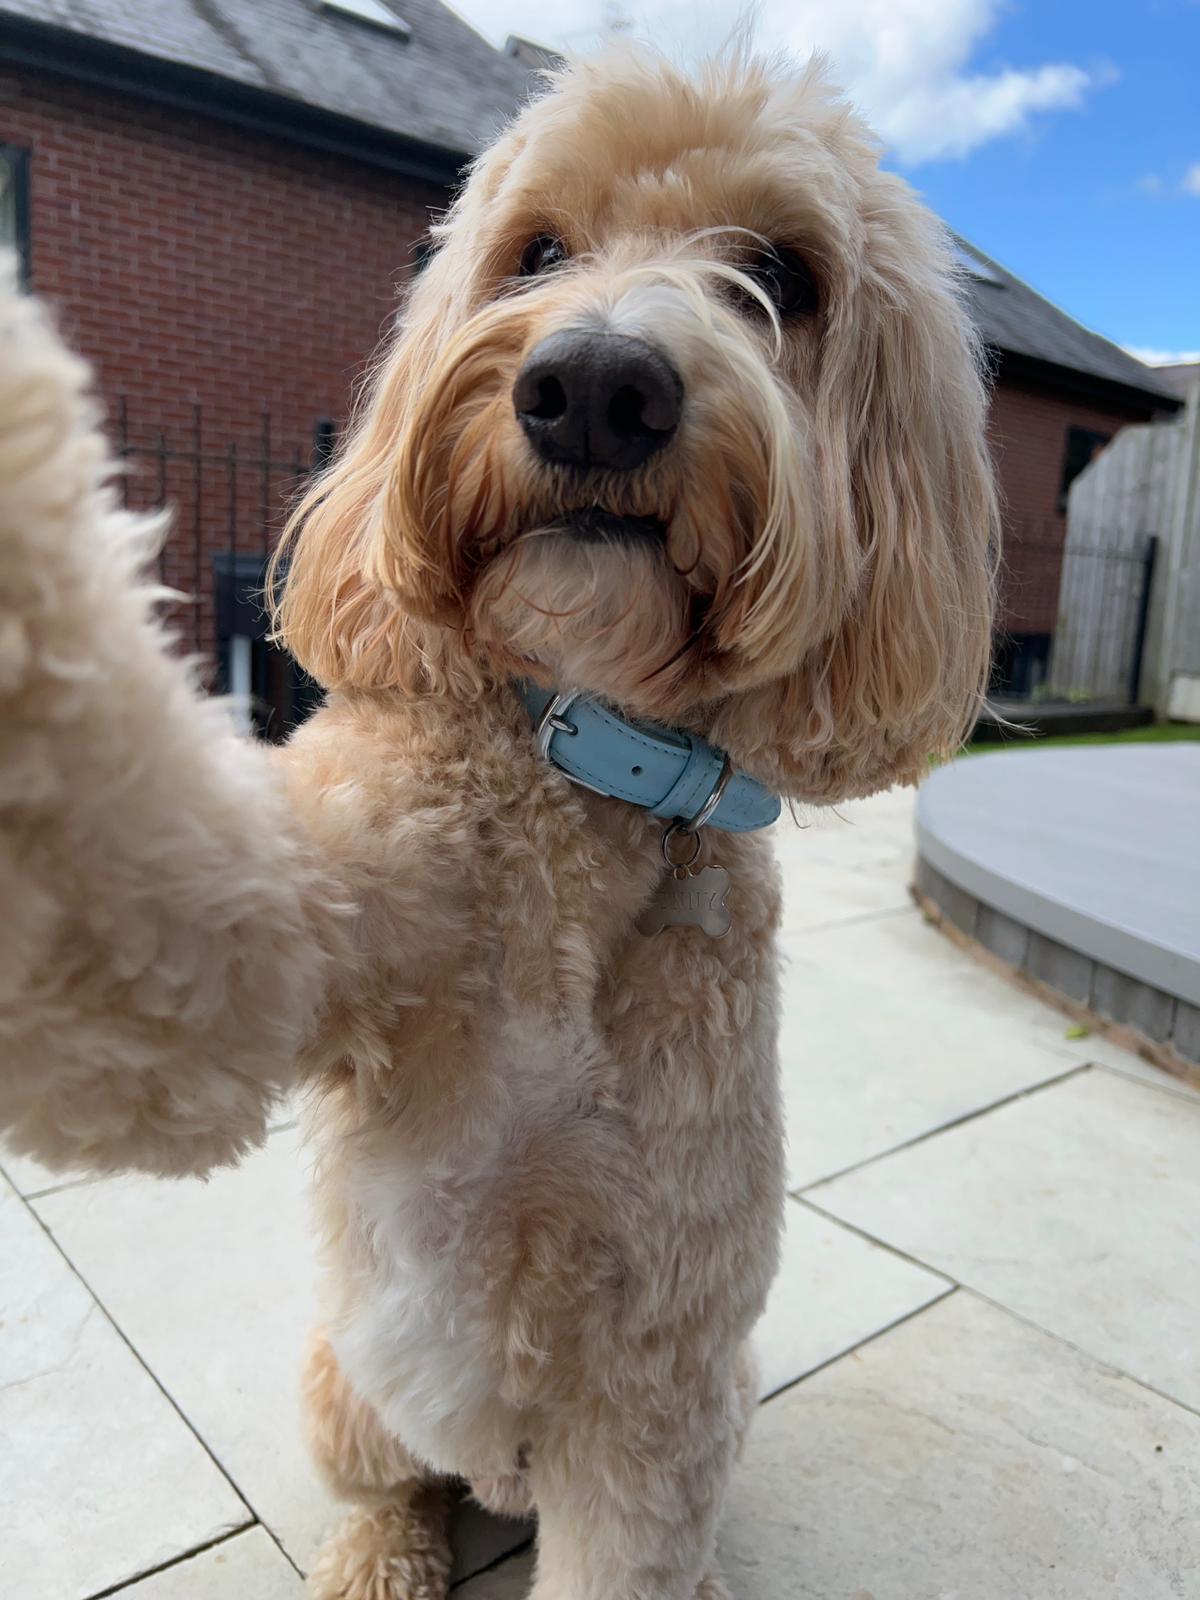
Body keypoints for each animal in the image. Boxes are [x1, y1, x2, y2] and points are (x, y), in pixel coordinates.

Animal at [0, 46, 998, 1600]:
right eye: (537, 249)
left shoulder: (648, 1398)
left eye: (783, 273)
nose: (594, 387)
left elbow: (624, 1555)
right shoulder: (257, 950)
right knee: (388, 1490)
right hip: (344, 1381)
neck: (583, 775)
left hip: (715, 1411)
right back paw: (381, 1558)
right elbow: (137, 897)